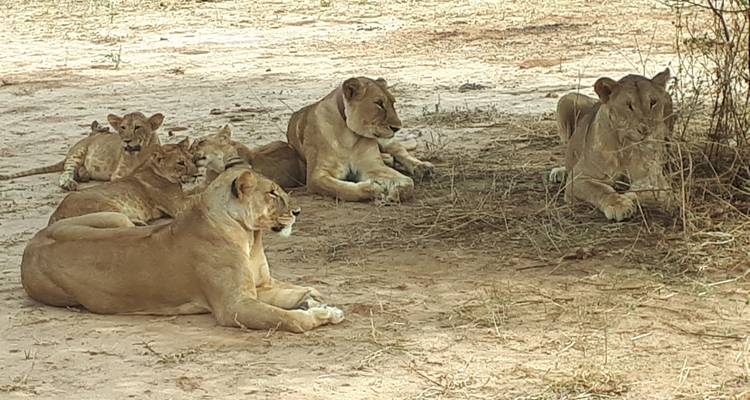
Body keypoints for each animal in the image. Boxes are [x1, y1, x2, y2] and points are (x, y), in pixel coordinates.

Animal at [0, 112, 164, 191]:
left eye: (137, 127)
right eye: (122, 127)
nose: (127, 141)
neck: (139, 152)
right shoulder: (118, 174)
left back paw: (83, 175)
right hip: (77, 153)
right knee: (65, 172)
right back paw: (70, 183)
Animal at [21, 166, 345, 333]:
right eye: (273, 194)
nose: (299, 212)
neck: (250, 238)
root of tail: (31, 246)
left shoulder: (258, 288)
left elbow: (290, 293)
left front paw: (316, 300)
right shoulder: (233, 307)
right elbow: (286, 318)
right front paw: (318, 315)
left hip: (117, 219)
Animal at [48, 138, 198, 226]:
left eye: (191, 158)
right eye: (180, 163)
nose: (197, 174)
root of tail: (56, 214)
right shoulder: (177, 205)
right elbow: (198, 195)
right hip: (108, 208)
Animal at [286, 77, 434, 202]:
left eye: (393, 103)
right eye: (379, 103)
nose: (397, 128)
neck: (348, 136)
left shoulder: (373, 165)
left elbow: (409, 183)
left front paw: (394, 193)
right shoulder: (316, 176)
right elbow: (342, 189)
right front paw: (373, 188)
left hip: (385, 141)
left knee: (400, 150)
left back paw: (422, 168)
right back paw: (388, 159)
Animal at [549, 68, 674, 221]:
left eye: (653, 102)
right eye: (628, 105)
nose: (645, 130)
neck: (627, 147)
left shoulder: (658, 180)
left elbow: (648, 191)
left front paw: (629, 196)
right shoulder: (578, 177)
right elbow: (600, 190)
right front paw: (618, 204)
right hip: (567, 99)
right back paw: (559, 172)